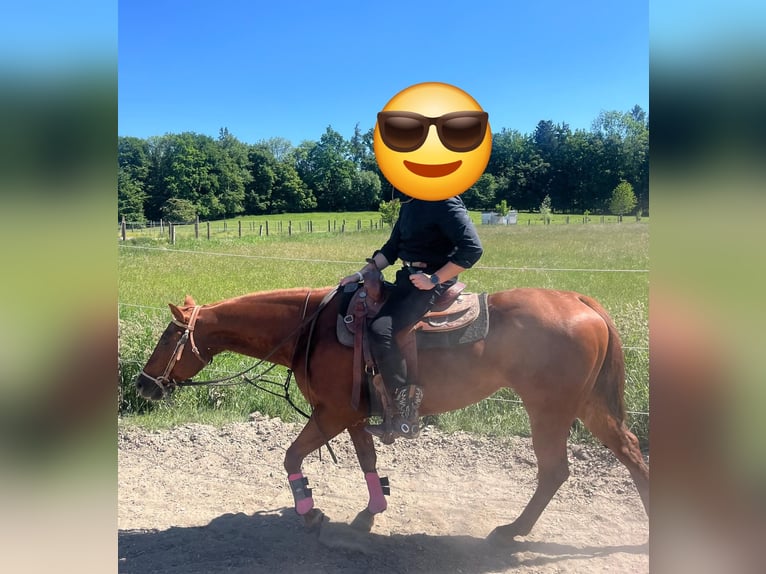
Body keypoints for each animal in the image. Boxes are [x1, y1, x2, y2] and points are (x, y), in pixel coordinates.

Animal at [135, 283, 649, 542]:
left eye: (167, 336)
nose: (142, 384)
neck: (310, 328)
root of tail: (580, 301)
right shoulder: (351, 416)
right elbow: (367, 460)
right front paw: (370, 512)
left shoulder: (330, 413)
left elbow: (291, 457)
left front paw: (310, 513)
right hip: (587, 404)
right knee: (631, 453)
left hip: (550, 408)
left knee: (555, 470)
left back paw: (513, 529)